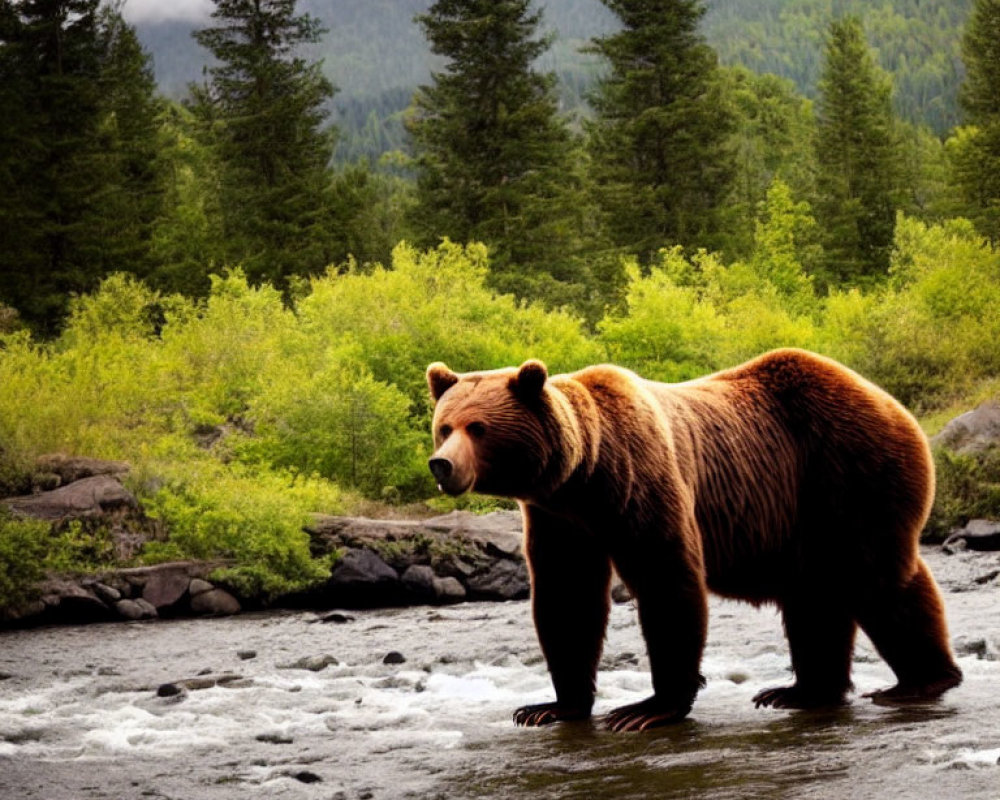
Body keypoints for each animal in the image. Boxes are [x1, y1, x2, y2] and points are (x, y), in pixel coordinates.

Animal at [426, 350, 964, 732]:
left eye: (479, 427)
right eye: (444, 426)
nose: (442, 464)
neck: (585, 476)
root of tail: (885, 397)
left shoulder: (641, 482)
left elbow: (668, 581)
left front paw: (646, 708)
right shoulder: (560, 518)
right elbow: (567, 598)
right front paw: (550, 706)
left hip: (848, 470)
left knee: (878, 577)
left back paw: (922, 680)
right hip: (803, 514)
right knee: (815, 598)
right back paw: (800, 691)